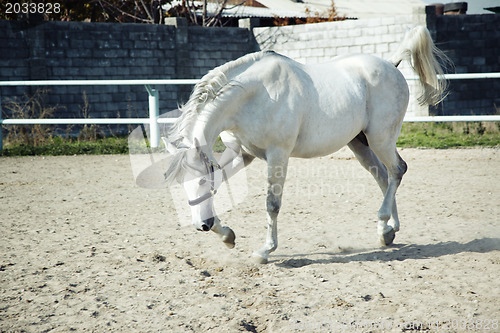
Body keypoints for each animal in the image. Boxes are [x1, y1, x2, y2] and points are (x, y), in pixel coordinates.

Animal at [162, 26, 448, 262]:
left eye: (201, 180)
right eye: (179, 184)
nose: (202, 225)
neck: (255, 95)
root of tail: (390, 64)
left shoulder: (278, 154)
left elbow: (272, 203)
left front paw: (265, 251)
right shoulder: (242, 153)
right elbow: (224, 183)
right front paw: (227, 235)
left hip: (381, 139)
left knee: (397, 170)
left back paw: (384, 224)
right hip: (360, 144)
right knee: (383, 175)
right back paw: (388, 230)